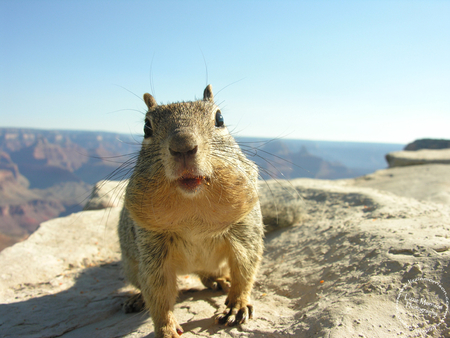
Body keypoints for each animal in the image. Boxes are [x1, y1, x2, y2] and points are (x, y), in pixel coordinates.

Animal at [118, 85, 298, 338]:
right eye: (146, 127)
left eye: (220, 118)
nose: (182, 146)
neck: (193, 207)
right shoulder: (152, 242)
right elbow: (157, 289)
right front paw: (165, 328)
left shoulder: (244, 227)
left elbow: (245, 268)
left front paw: (237, 305)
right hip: (131, 264)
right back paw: (138, 299)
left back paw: (219, 280)